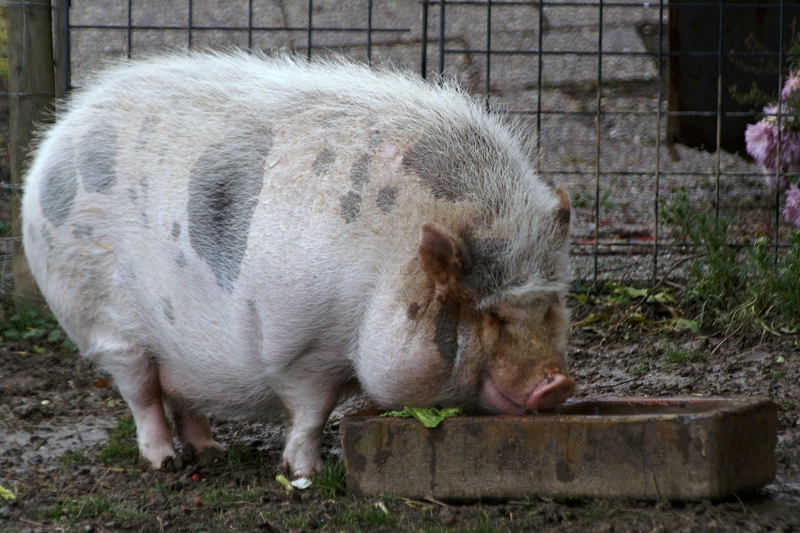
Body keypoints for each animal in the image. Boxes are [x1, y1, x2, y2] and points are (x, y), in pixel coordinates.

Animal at [21, 53, 576, 478]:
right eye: (491, 314)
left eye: (552, 306)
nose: (559, 384)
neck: (387, 267)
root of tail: (54, 139)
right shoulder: (302, 348)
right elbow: (312, 412)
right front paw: (306, 475)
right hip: (102, 321)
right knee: (140, 391)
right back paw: (167, 463)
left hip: (178, 341)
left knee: (181, 394)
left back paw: (211, 453)